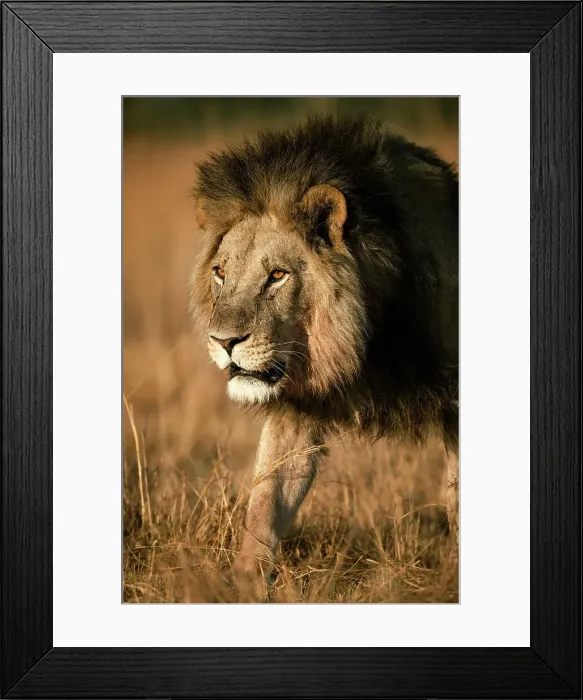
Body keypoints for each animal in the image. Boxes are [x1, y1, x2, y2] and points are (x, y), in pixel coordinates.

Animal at [191, 116, 458, 586]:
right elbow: (266, 497)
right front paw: (244, 582)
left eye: (277, 275)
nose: (224, 343)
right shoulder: (294, 407)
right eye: (221, 272)